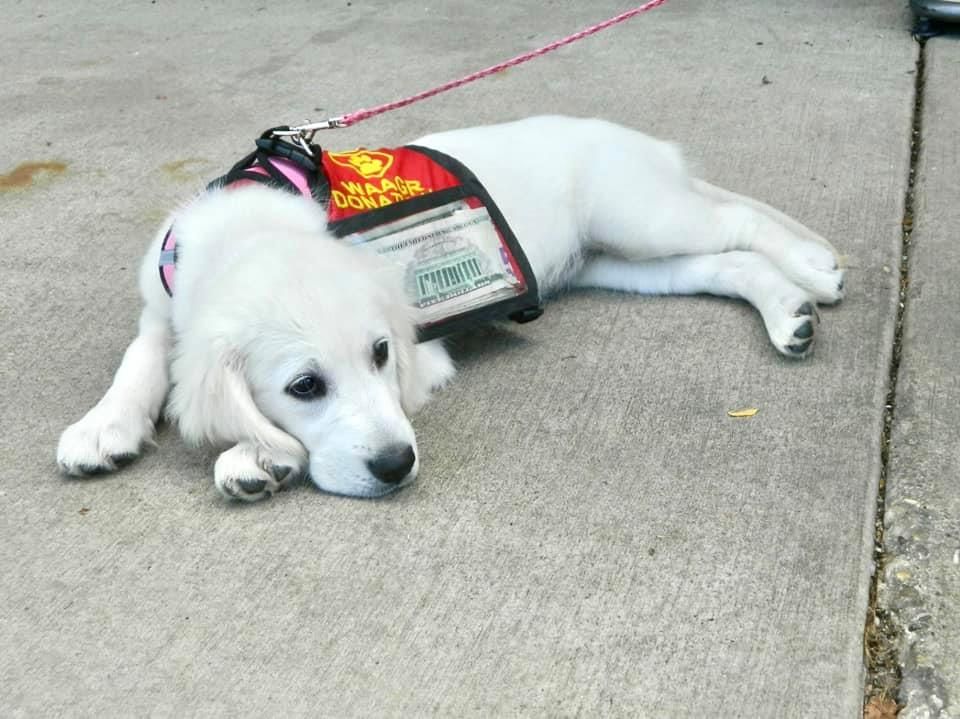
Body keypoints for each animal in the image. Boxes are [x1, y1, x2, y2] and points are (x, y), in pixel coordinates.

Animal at [56, 116, 844, 500]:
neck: (254, 228)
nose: (396, 465)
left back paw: (812, 267)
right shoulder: (163, 307)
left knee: (740, 221)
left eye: (381, 354)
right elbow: (142, 358)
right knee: (727, 261)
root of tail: (637, 138)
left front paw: (252, 454)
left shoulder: (420, 354)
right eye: (304, 386)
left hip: (640, 216)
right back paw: (789, 311)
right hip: (616, 261)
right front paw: (103, 425)